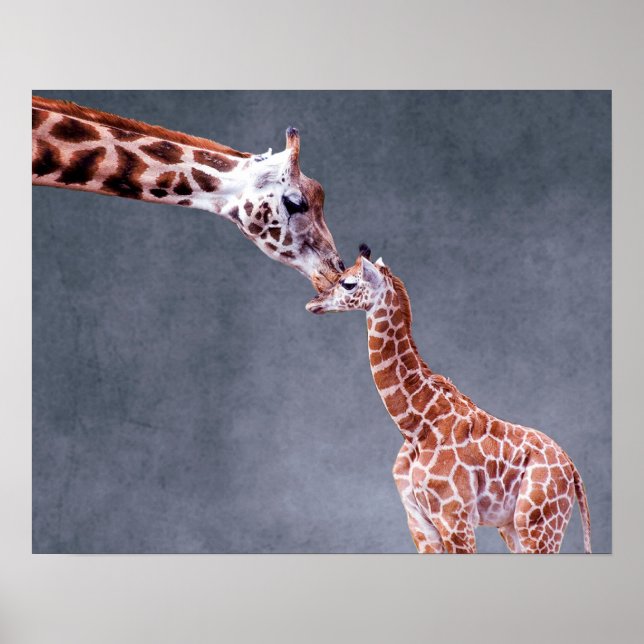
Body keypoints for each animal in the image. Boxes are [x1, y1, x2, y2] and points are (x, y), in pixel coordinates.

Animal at [306, 246, 592, 554]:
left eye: (348, 283)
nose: (313, 303)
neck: (415, 427)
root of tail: (572, 469)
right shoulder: (419, 522)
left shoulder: (454, 518)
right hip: (512, 526)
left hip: (537, 524)